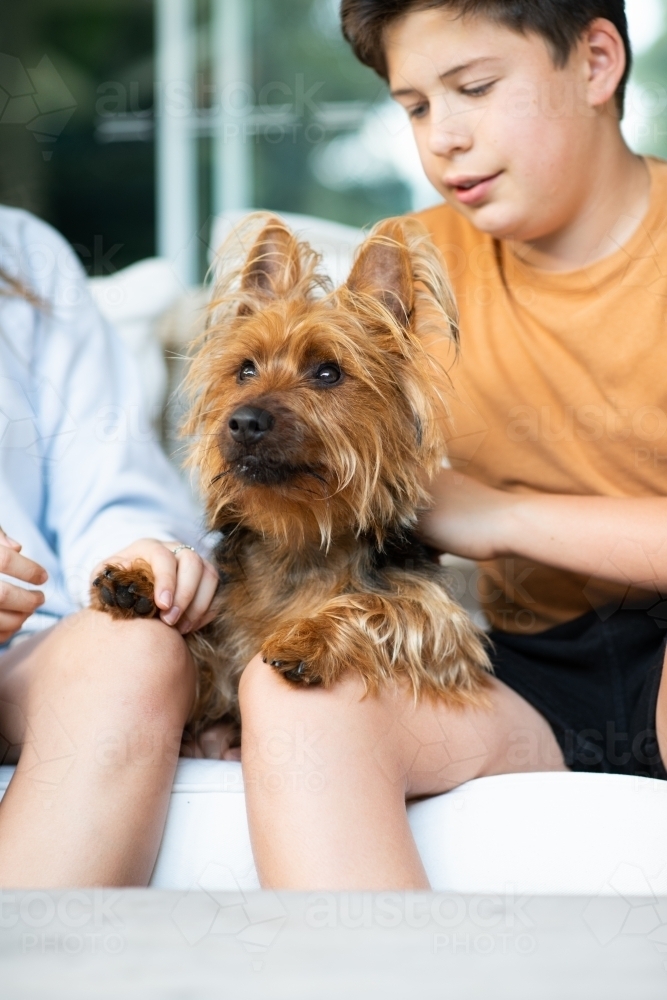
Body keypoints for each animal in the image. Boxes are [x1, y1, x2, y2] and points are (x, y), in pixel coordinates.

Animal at [92, 215, 490, 728]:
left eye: (328, 372)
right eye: (245, 370)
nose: (243, 421)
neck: (298, 535)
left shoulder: (451, 641)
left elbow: (388, 606)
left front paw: (310, 637)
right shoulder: (220, 686)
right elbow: (204, 663)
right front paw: (141, 579)